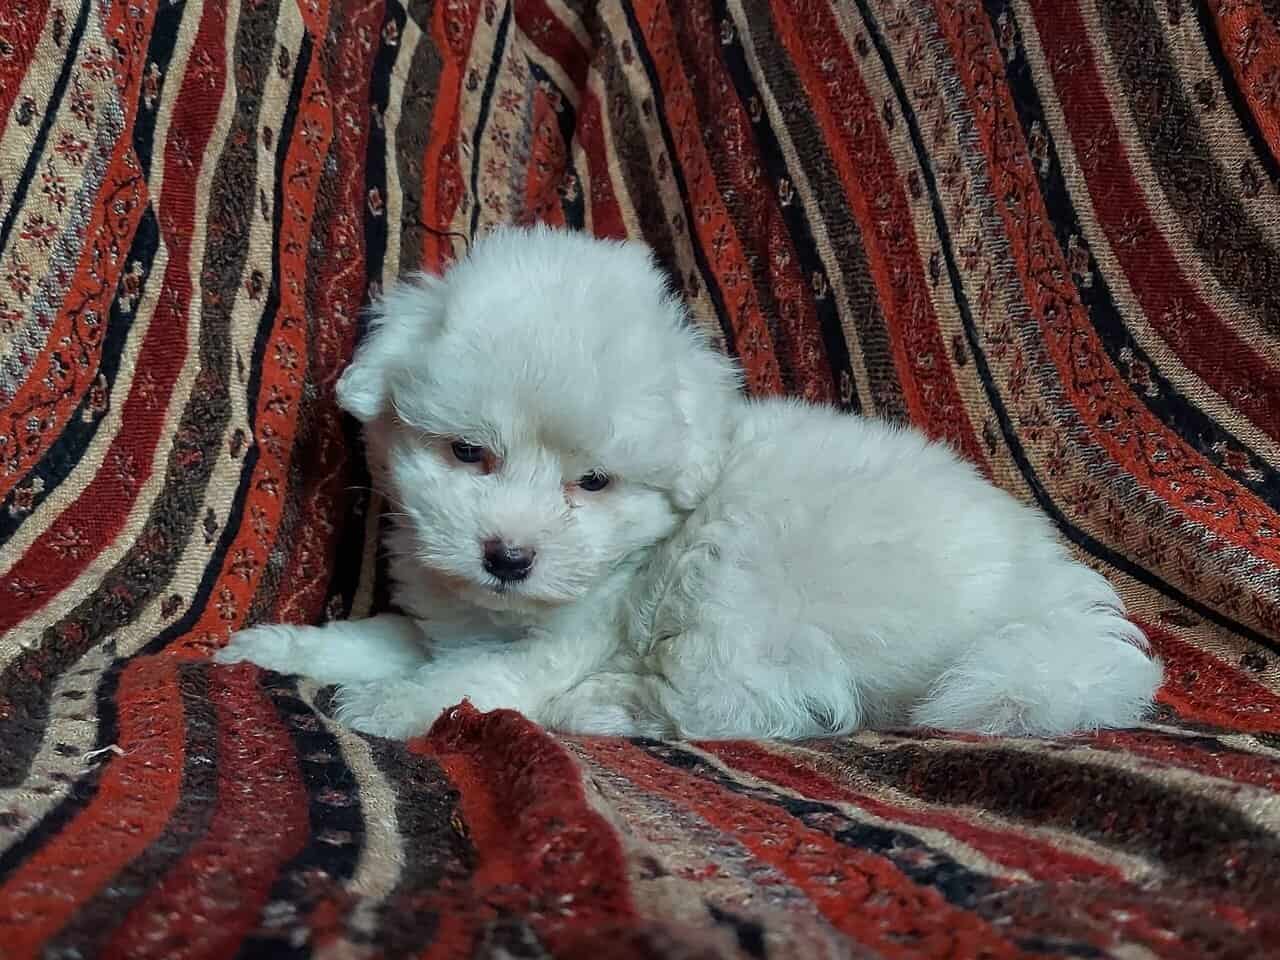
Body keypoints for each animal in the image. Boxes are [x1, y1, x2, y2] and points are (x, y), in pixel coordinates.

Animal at [215, 225, 1164, 740]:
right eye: (469, 454)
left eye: (594, 482)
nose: (508, 558)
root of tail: (1038, 596)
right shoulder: (445, 616)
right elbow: (387, 634)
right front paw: (281, 650)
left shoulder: (572, 629)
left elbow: (480, 675)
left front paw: (389, 704)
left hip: (748, 580)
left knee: (754, 708)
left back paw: (605, 708)